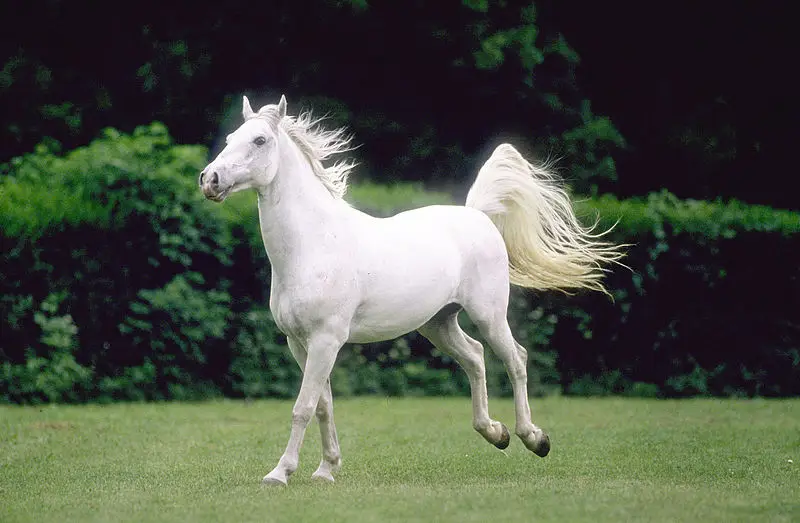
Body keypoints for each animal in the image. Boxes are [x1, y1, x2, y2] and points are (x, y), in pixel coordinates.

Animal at [199, 95, 625, 486]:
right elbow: (323, 406)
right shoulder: (299, 343)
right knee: (475, 357)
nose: (210, 180)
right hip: (438, 324)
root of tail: (478, 215)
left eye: (259, 140)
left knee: (515, 359)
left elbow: (303, 407)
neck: (314, 245)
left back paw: (533, 438)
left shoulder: (325, 340)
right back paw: (495, 433)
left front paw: (280, 473)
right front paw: (326, 470)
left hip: (488, 314)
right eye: (230, 137)